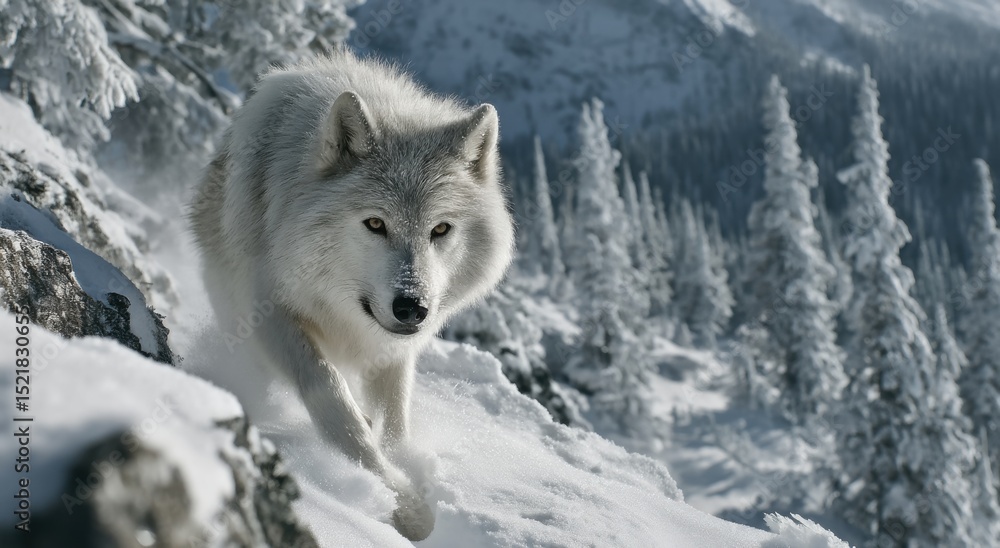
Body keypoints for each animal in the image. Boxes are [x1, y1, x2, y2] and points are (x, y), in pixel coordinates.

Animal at [188, 50, 515, 540]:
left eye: (440, 229)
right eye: (376, 223)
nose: (412, 308)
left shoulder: (394, 351)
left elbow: (396, 421)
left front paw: (402, 467)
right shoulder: (269, 313)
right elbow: (332, 398)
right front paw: (399, 502)